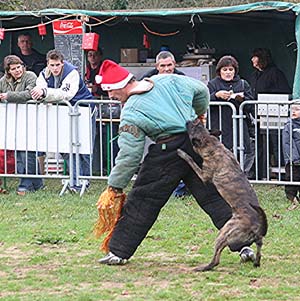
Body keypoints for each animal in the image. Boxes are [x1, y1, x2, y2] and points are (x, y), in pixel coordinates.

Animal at [177, 120, 268, 272]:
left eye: (193, 127)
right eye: (197, 123)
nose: (188, 121)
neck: (213, 144)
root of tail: (257, 228)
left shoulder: (204, 175)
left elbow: (190, 160)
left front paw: (181, 153)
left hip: (224, 233)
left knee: (216, 260)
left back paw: (203, 267)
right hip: (252, 240)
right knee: (259, 250)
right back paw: (256, 262)